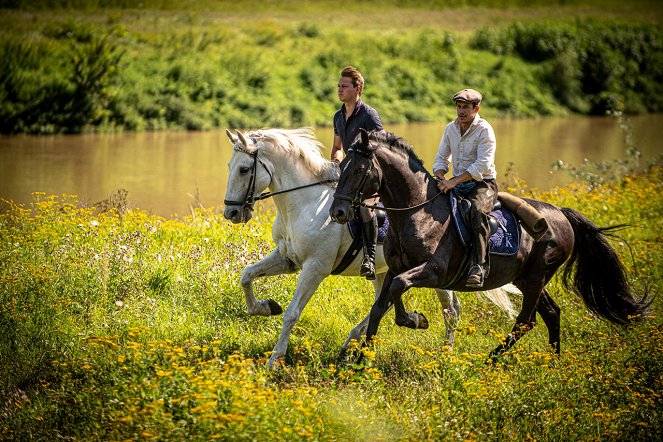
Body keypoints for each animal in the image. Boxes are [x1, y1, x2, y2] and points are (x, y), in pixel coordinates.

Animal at [223, 129, 512, 370]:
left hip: (435, 274)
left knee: (451, 310)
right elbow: (247, 276)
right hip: (385, 272)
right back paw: (353, 342)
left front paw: (275, 359)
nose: (231, 213)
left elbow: (292, 314)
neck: (304, 204)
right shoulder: (287, 259)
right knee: (383, 303)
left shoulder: (315, 267)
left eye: (244, 169)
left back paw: (444, 352)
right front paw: (266, 307)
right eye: (230, 166)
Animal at [330, 129, 652, 360]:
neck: (417, 212)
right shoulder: (397, 268)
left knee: (526, 321)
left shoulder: (433, 271)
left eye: (357, 171)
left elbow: (397, 290)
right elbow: (381, 305)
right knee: (550, 314)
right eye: (342, 166)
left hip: (537, 275)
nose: (338, 212)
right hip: (526, 277)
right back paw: (553, 362)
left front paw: (415, 320)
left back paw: (492, 359)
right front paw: (363, 359)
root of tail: (561, 215)